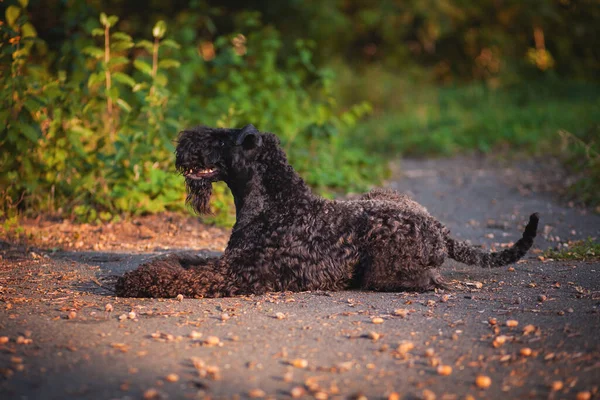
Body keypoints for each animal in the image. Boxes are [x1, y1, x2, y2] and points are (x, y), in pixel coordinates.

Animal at [113, 125, 540, 296]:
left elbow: (178, 277)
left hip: (385, 264)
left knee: (422, 279)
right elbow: (178, 260)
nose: (181, 145)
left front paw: (134, 282)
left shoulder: (236, 273)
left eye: (220, 138)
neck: (275, 205)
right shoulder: (224, 260)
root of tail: (440, 228)